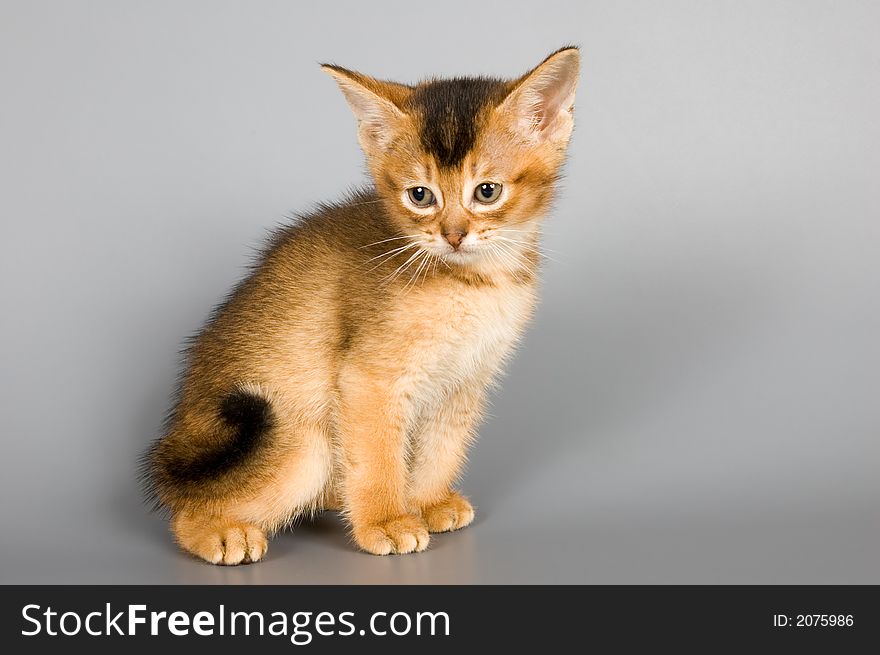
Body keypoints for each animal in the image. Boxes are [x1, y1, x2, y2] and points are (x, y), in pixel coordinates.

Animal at [144, 47, 580, 564]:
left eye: (487, 191)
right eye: (420, 196)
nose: (453, 235)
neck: (471, 280)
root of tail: (180, 436)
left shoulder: (463, 381)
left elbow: (442, 447)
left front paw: (427, 502)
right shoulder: (368, 380)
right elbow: (378, 457)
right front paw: (387, 522)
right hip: (298, 443)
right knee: (184, 508)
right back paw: (223, 533)